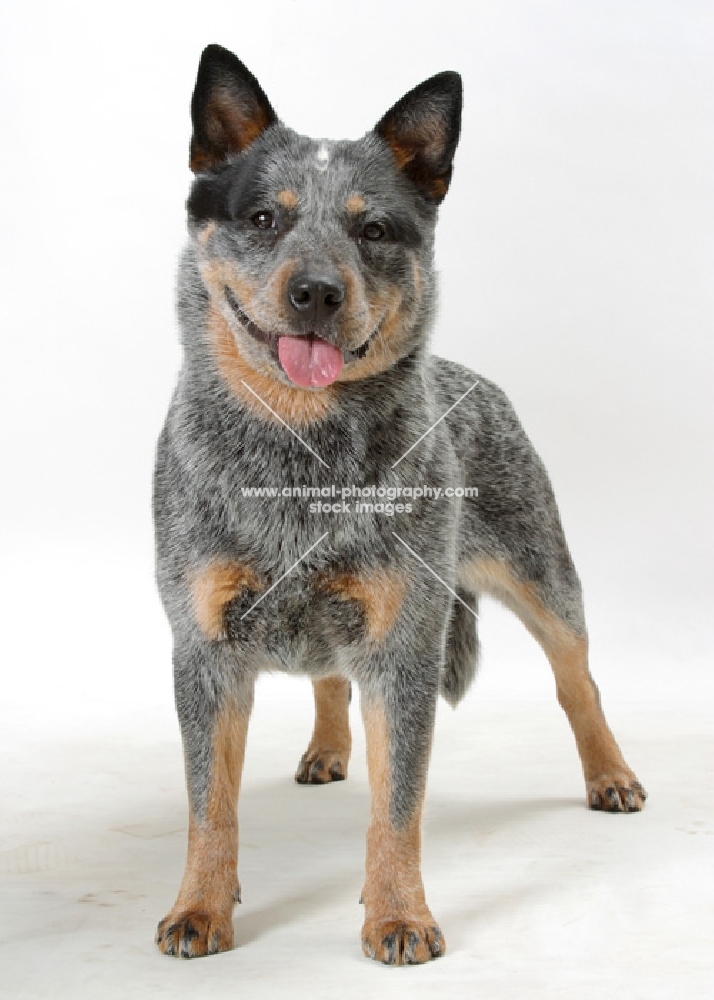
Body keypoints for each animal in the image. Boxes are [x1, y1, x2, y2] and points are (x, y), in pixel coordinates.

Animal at [154, 43, 644, 964]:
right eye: (264, 219)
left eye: (373, 230)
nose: (316, 291)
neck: (300, 459)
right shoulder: (204, 648)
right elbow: (209, 805)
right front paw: (200, 907)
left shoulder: (404, 648)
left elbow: (398, 808)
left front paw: (398, 916)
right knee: (326, 680)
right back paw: (325, 749)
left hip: (540, 574)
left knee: (579, 681)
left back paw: (611, 774)